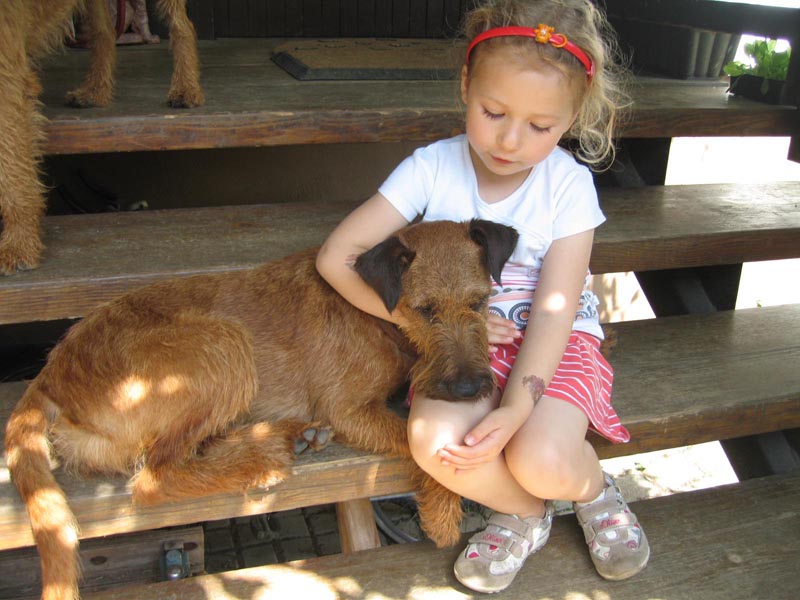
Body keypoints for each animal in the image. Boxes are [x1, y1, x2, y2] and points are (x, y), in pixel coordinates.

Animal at [0, 0, 202, 275]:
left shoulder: (7, 71)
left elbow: (12, 166)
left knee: (183, 25)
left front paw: (19, 245)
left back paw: (186, 88)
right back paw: (95, 91)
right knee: (104, 31)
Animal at [5, 218, 520, 600]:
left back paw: (283, 436)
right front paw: (443, 513)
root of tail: (52, 373)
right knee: (154, 477)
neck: (379, 312)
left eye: (481, 301)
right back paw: (264, 455)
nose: (470, 388)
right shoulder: (348, 409)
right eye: (425, 310)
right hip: (221, 343)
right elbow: (418, 447)